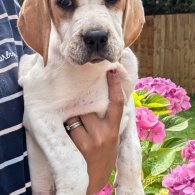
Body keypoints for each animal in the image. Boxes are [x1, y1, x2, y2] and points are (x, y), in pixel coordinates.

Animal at [17, 0, 145, 194]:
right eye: (65, 3)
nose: (96, 37)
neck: (95, 70)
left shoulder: (127, 105)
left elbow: (132, 152)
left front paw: (131, 189)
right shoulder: (40, 113)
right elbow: (73, 162)